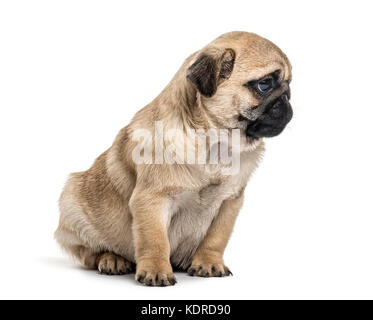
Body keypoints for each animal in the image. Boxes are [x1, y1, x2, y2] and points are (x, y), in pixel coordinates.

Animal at [55, 31, 292, 288]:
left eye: (289, 86)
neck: (215, 145)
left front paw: (209, 263)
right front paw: (156, 270)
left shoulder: (230, 202)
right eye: (264, 84)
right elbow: (155, 239)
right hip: (72, 205)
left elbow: (216, 238)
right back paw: (112, 259)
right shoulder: (152, 200)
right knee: (88, 253)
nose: (287, 99)